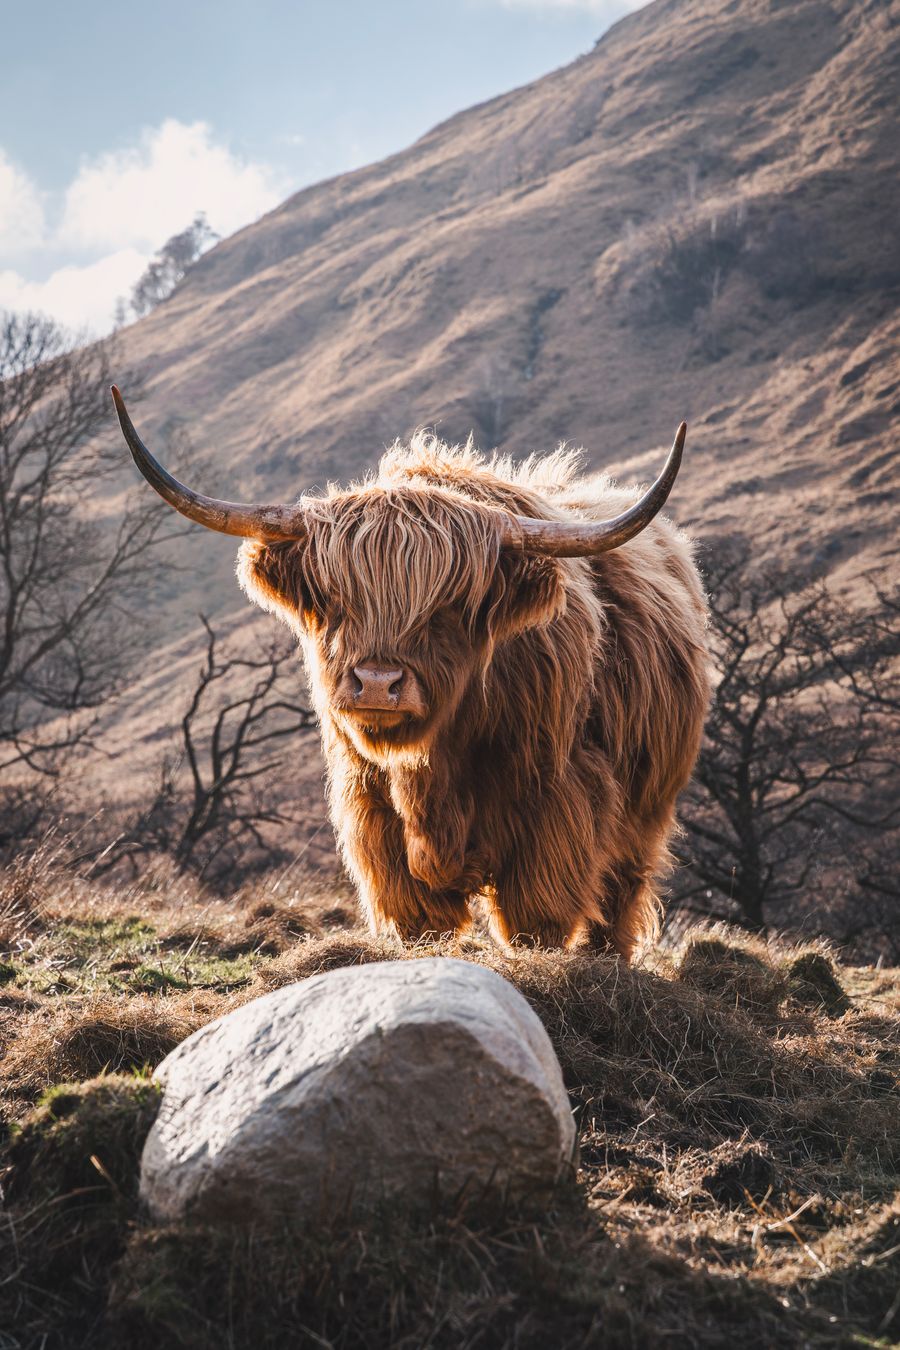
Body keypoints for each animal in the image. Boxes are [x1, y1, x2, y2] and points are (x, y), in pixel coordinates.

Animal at [112, 387, 709, 960]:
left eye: (447, 607)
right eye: (337, 600)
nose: (377, 684)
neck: (432, 767)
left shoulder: (556, 795)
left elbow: (536, 912)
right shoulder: (371, 805)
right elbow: (416, 913)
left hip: (649, 802)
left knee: (621, 886)